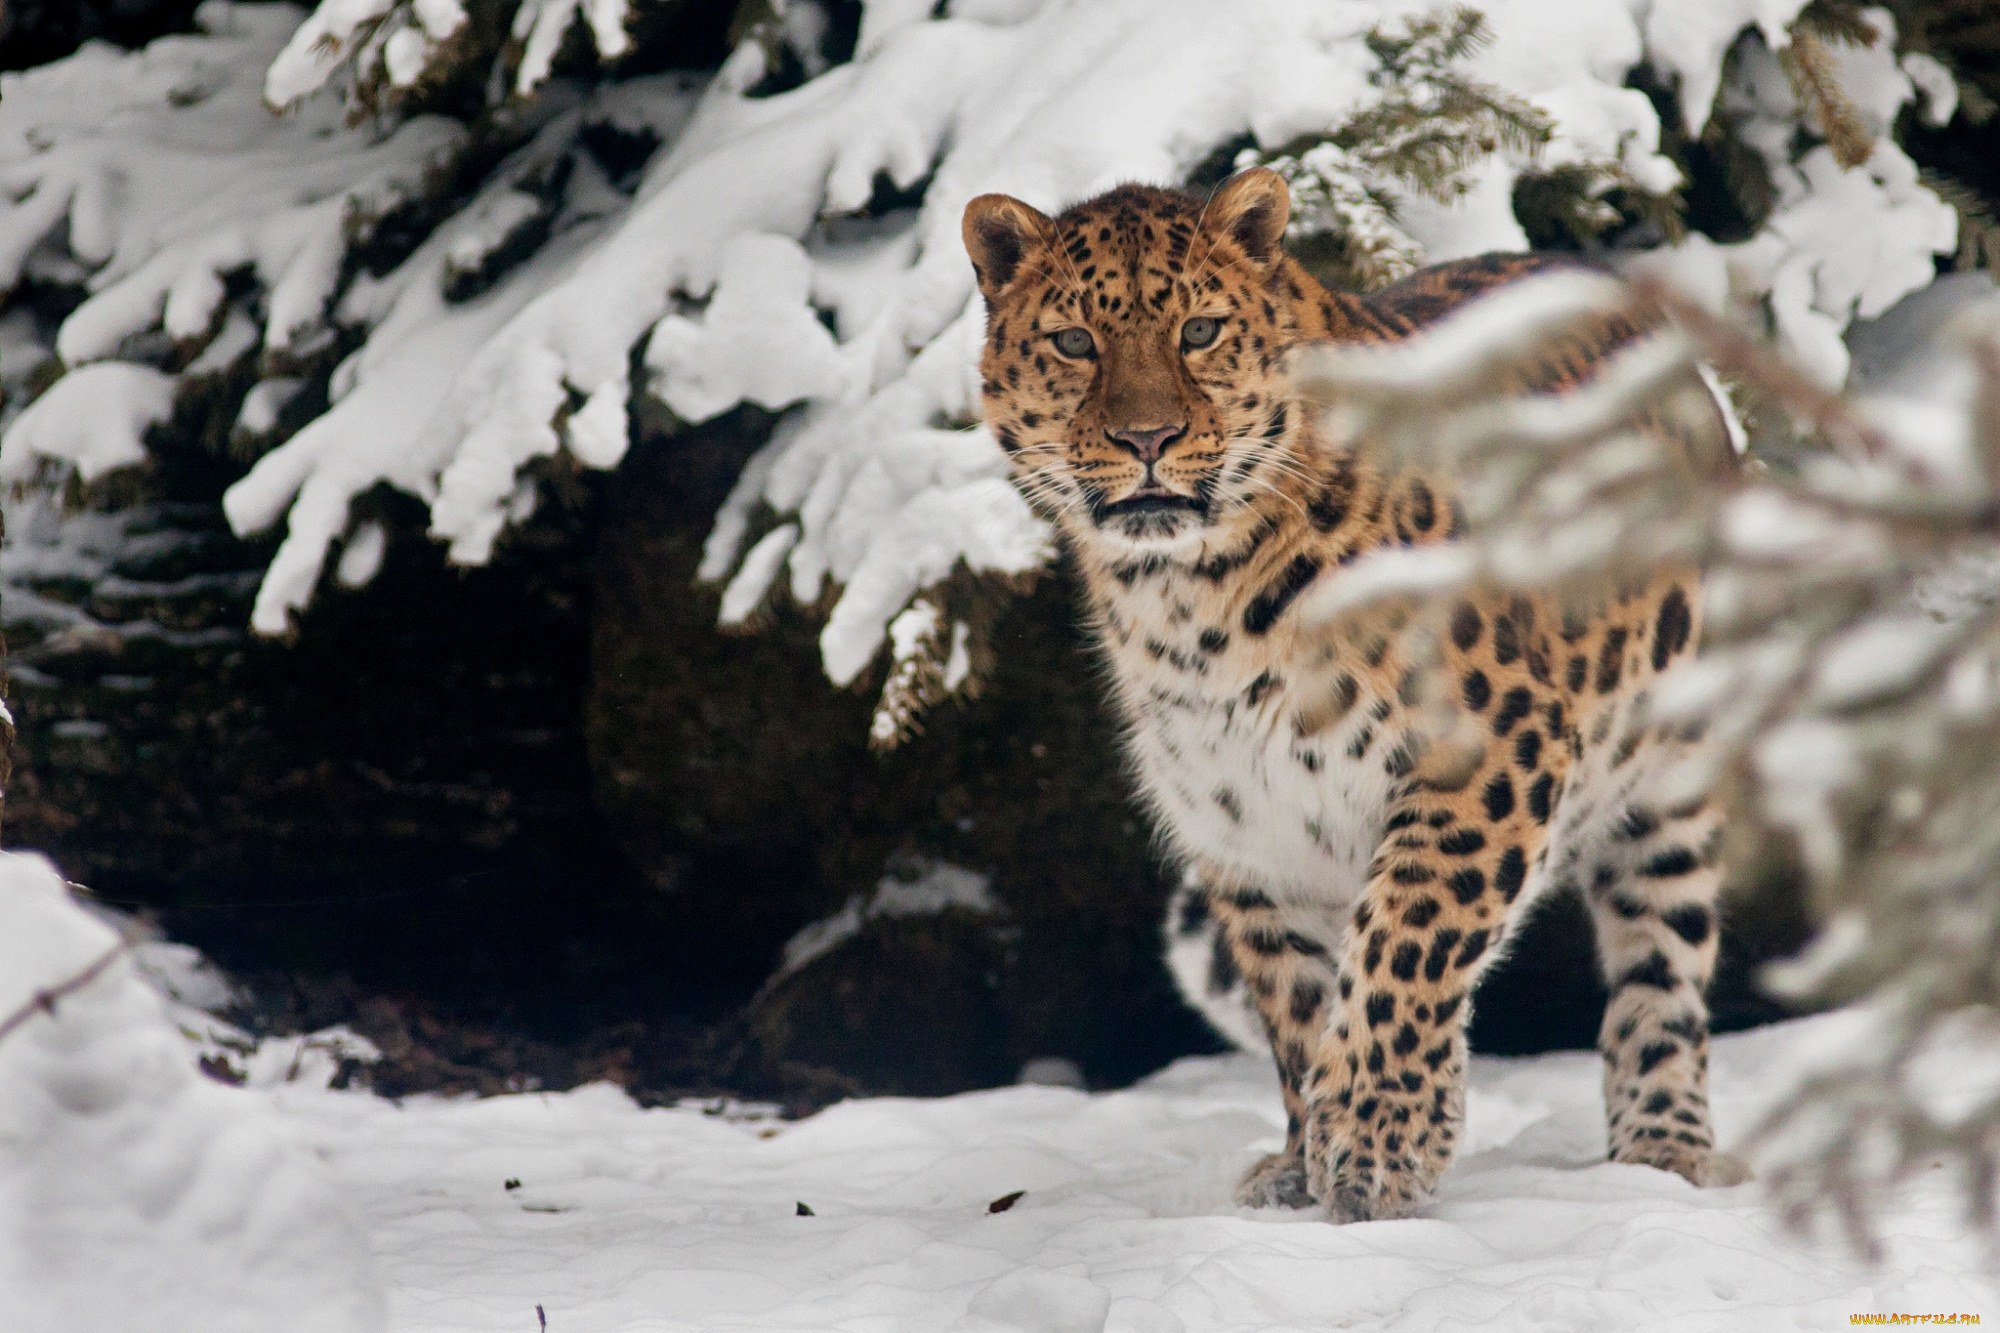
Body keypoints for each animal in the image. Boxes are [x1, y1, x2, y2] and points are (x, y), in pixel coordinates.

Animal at [960, 163, 1744, 1216]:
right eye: (1075, 342)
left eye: (1199, 331)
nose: (1147, 437)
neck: (1189, 601)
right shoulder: (1250, 832)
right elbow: (1300, 1005)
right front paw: (1307, 1160)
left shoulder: (1488, 754)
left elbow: (1407, 943)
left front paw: (1380, 1144)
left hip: (1675, 778)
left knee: (1662, 973)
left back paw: (1663, 1151)